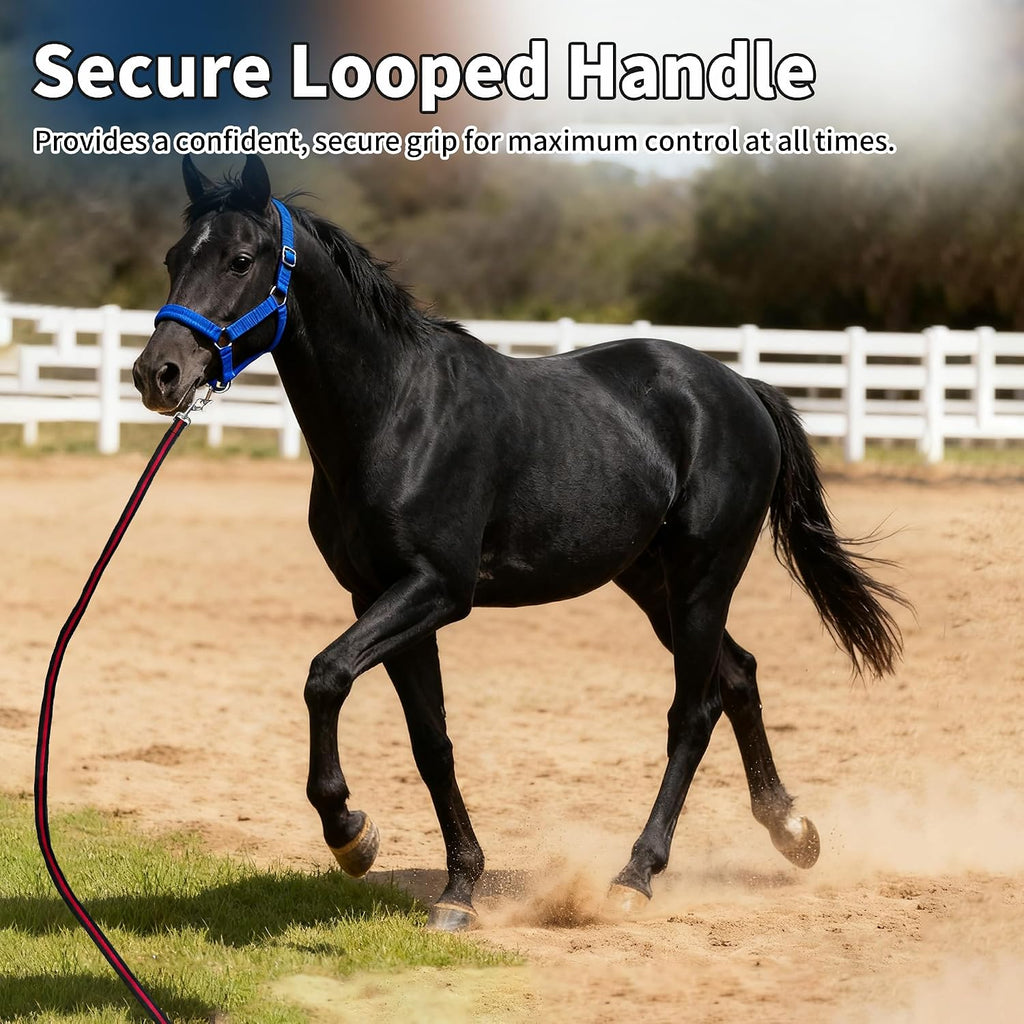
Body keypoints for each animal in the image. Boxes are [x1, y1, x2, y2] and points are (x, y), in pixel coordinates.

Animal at [133, 155, 907, 931]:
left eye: (240, 260)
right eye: (171, 258)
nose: (157, 373)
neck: (396, 414)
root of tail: (741, 386)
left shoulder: (437, 590)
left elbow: (326, 676)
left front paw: (352, 834)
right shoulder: (379, 596)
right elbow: (430, 742)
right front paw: (457, 889)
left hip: (702, 578)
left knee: (694, 710)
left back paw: (635, 875)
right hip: (651, 581)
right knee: (739, 675)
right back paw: (792, 831)